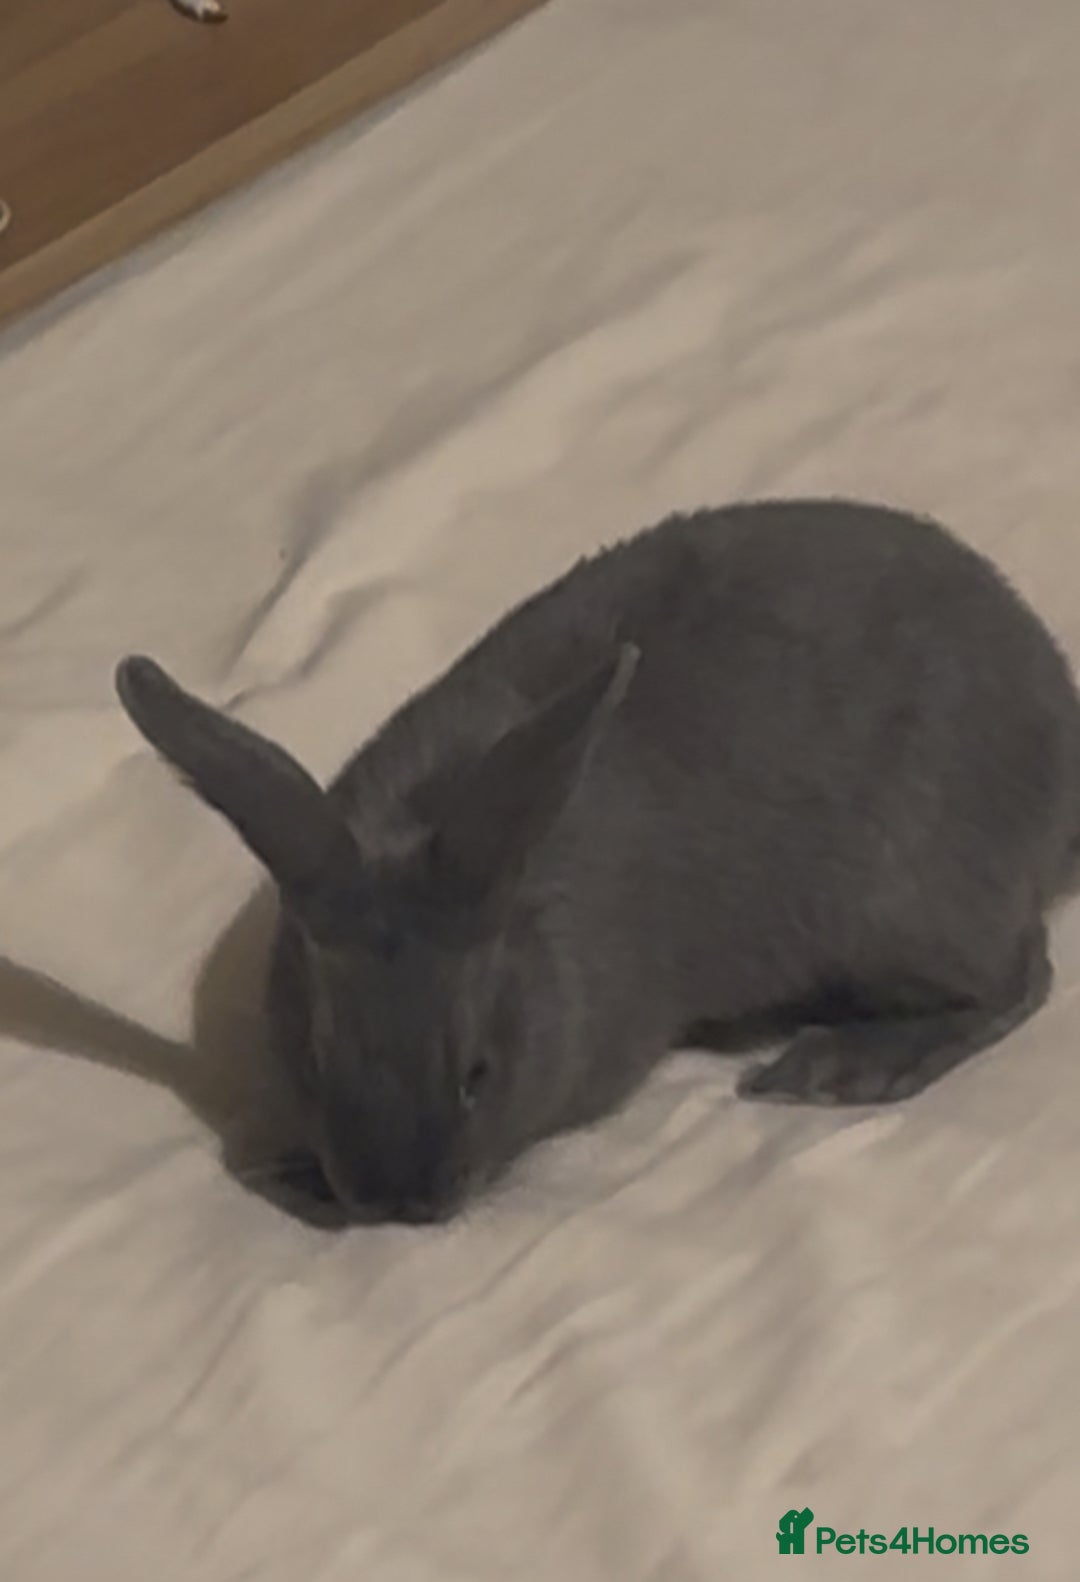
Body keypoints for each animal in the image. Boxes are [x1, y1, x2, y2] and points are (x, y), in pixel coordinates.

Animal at [115, 498, 1080, 1223]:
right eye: (315, 1064)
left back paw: (837, 1066)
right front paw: (289, 1168)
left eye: (477, 1076)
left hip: (902, 904)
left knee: (1020, 978)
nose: (397, 1207)